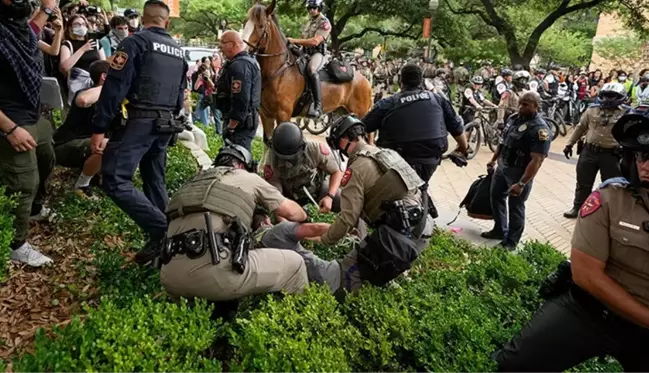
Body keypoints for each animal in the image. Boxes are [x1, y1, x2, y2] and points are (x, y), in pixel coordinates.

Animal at [240, 0, 372, 142]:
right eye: (245, 22)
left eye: (260, 25)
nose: (242, 48)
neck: (279, 70)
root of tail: (366, 81)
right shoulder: (266, 116)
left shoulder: (283, 115)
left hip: (360, 115)